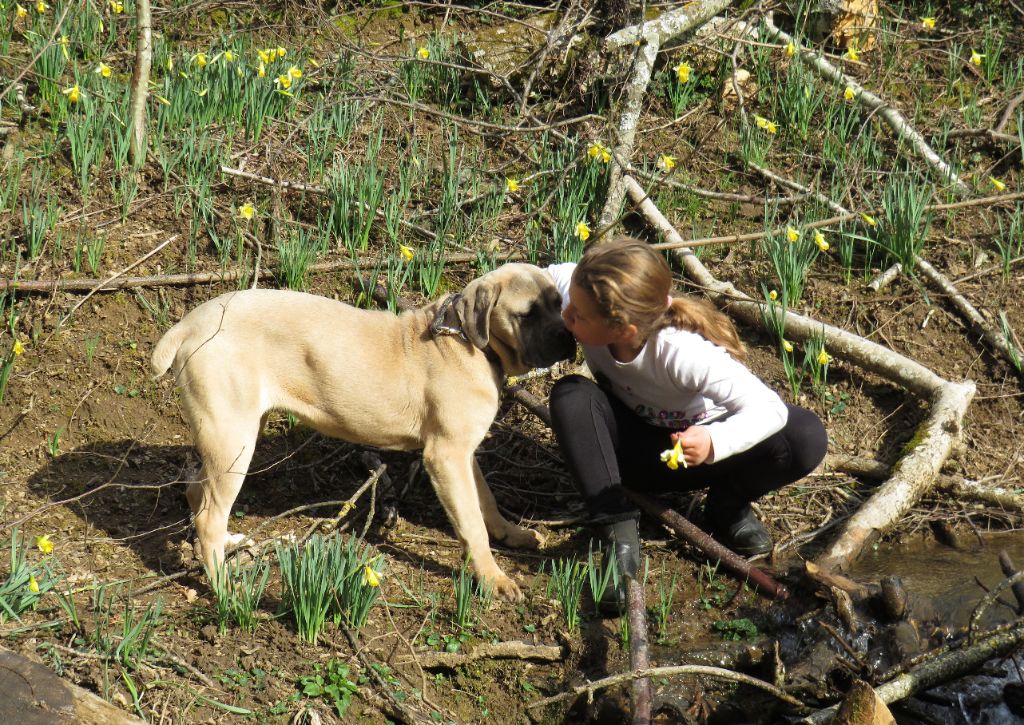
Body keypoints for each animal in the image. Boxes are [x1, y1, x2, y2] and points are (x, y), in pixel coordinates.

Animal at [151, 264, 577, 598]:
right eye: (527, 314)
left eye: (559, 303)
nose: (568, 337)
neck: (470, 343)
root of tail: (191, 323)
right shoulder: (447, 455)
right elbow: (472, 522)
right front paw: (493, 579)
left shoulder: (464, 453)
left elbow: (485, 501)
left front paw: (512, 534)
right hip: (232, 438)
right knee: (209, 513)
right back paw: (225, 589)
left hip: (235, 432)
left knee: (199, 494)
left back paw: (226, 545)